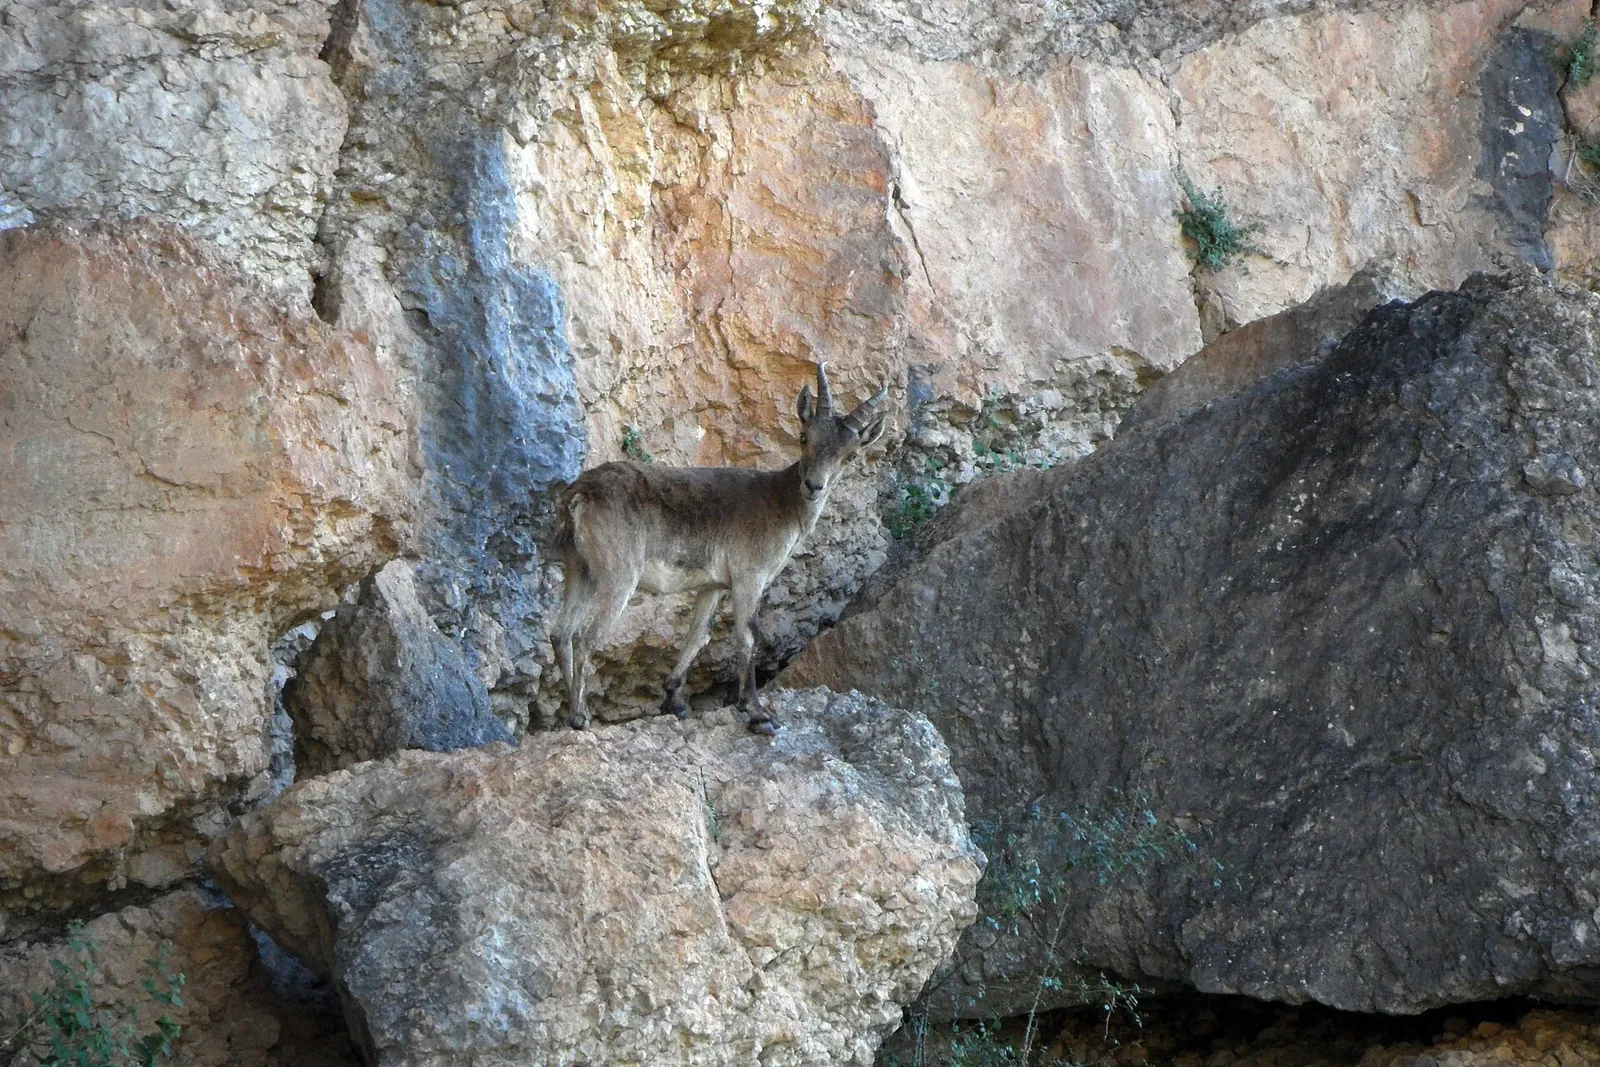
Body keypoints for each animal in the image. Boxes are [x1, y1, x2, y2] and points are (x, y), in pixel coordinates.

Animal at [551, 363, 887, 734]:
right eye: (804, 438)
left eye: (850, 455)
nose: (814, 486)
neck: (781, 504)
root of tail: (579, 496)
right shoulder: (749, 576)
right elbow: (748, 636)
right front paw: (757, 713)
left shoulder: (712, 586)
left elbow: (699, 634)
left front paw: (675, 700)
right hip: (618, 573)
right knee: (586, 638)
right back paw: (581, 716)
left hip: (579, 567)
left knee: (561, 632)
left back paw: (571, 709)